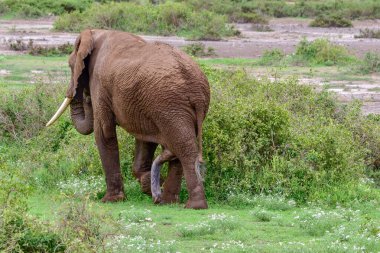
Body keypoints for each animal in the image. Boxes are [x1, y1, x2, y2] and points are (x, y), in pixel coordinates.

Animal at [46, 28, 211, 209]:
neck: (96, 33)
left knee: (184, 147)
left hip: (170, 105)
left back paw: (193, 205)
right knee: (178, 146)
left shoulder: (100, 83)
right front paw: (149, 186)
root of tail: (196, 86)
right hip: (171, 106)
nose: (86, 97)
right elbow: (146, 139)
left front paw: (111, 200)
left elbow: (104, 133)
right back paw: (168, 201)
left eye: (70, 65)